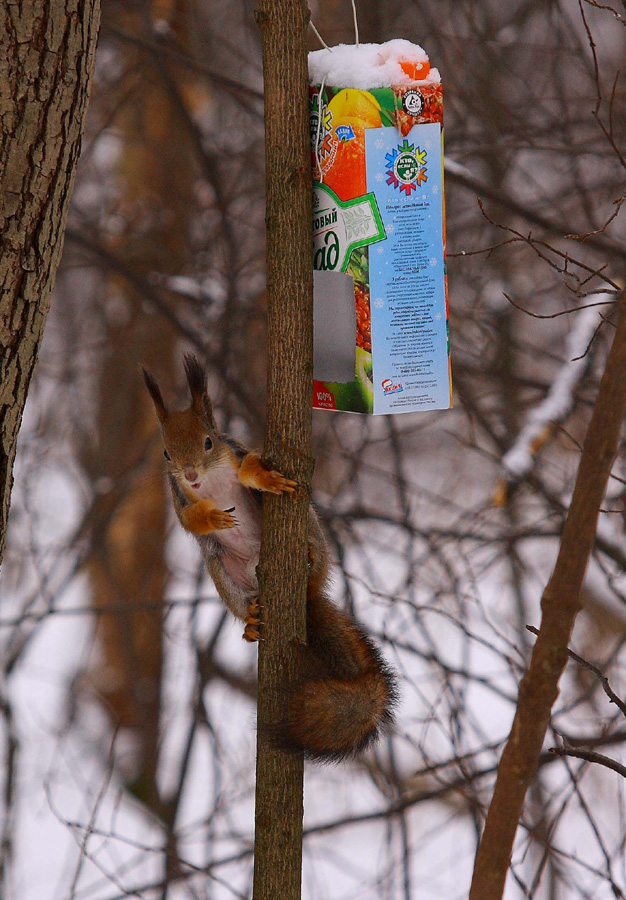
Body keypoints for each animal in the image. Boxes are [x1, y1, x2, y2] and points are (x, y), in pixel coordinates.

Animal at [142, 356, 394, 764]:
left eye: (209, 441)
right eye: (167, 453)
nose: (191, 474)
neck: (209, 484)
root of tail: (305, 596)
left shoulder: (236, 452)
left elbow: (249, 466)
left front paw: (262, 478)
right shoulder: (178, 498)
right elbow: (192, 519)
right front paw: (214, 517)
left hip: (309, 527)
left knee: (313, 552)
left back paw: (309, 556)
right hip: (222, 570)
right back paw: (251, 620)